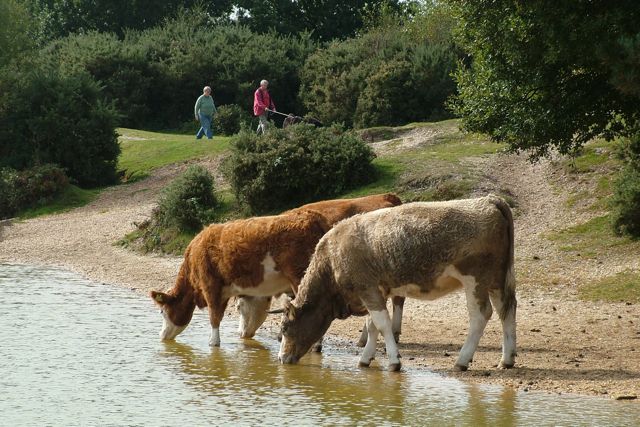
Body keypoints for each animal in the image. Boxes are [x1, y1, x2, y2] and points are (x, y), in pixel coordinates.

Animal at [278, 196, 516, 372]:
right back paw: (506, 359)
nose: (280, 358)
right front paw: (365, 359)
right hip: (497, 279)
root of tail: (489, 200)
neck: (332, 257)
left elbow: (382, 324)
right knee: (506, 309)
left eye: (285, 328)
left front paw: (394, 361)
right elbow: (372, 326)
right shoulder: (376, 292)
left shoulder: (367, 288)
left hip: (474, 280)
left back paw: (462, 360)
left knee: (481, 315)